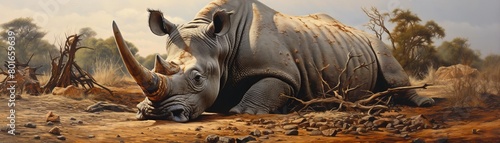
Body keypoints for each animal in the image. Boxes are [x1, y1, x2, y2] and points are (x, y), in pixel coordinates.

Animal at [112, 0, 434, 123]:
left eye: (197, 78)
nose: (157, 113)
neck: (223, 43)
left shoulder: (282, 71)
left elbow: (270, 84)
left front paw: (241, 111)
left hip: (375, 43)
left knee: (391, 67)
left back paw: (425, 103)